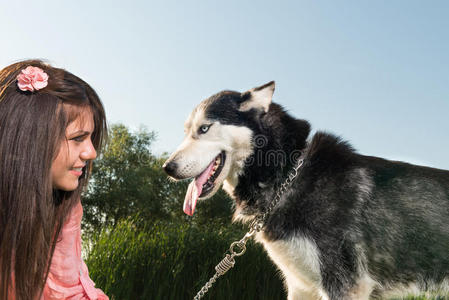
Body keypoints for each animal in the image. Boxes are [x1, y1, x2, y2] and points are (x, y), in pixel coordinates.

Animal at [162, 82, 448, 300]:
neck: (288, 173)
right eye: (186, 132)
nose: (167, 167)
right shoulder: (301, 286)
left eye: (204, 128)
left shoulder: (345, 286)